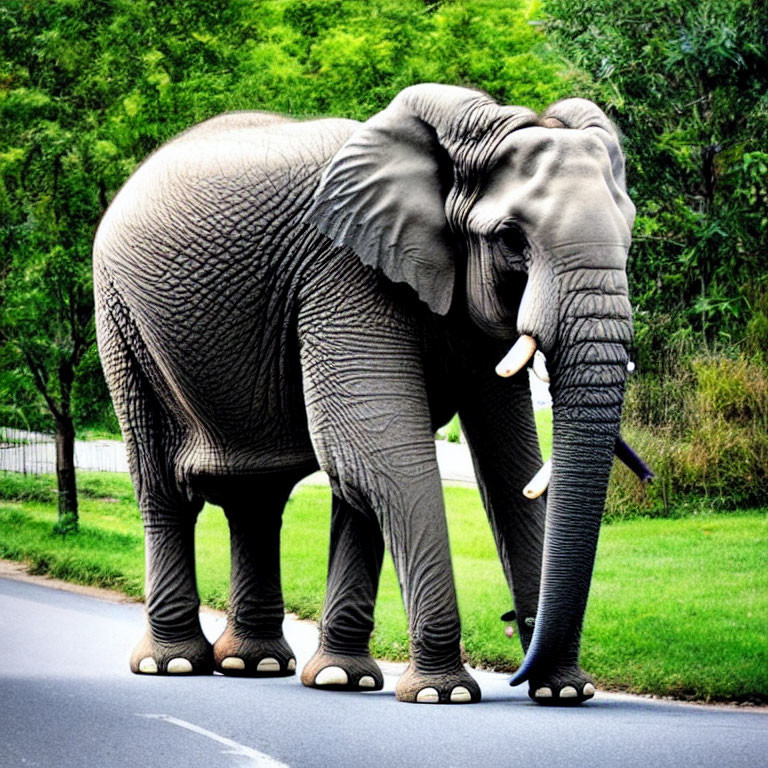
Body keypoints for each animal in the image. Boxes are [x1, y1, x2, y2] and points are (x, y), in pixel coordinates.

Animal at [94, 82, 636, 704]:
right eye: (510, 239)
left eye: (629, 235)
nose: (512, 645)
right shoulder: (344, 272)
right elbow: (378, 453)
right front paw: (442, 694)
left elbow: (503, 463)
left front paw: (563, 692)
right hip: (121, 321)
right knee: (164, 486)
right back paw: (176, 664)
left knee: (257, 497)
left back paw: (263, 666)